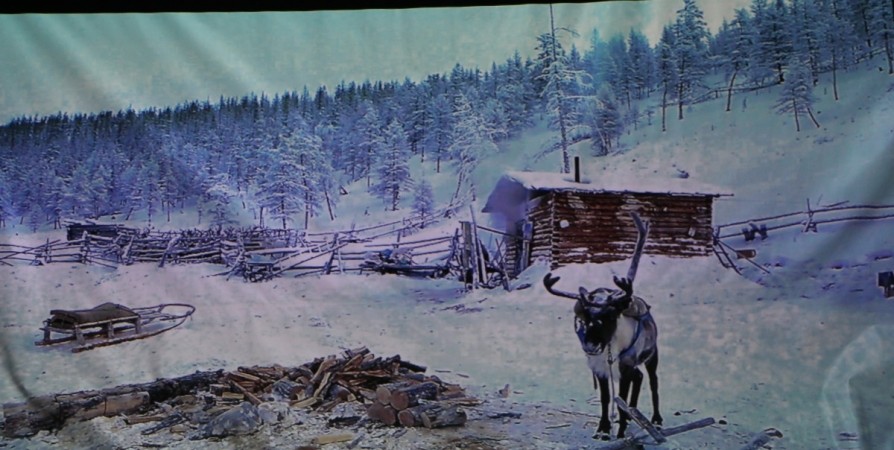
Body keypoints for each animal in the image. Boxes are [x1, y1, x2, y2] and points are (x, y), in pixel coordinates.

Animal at [543, 212, 662, 440]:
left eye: (610, 315)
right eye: (584, 317)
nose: (590, 346)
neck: (610, 348)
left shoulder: (626, 366)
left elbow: (621, 399)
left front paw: (621, 432)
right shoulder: (598, 368)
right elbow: (607, 399)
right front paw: (603, 429)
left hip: (652, 355)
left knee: (653, 381)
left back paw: (656, 420)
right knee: (639, 378)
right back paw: (635, 415)